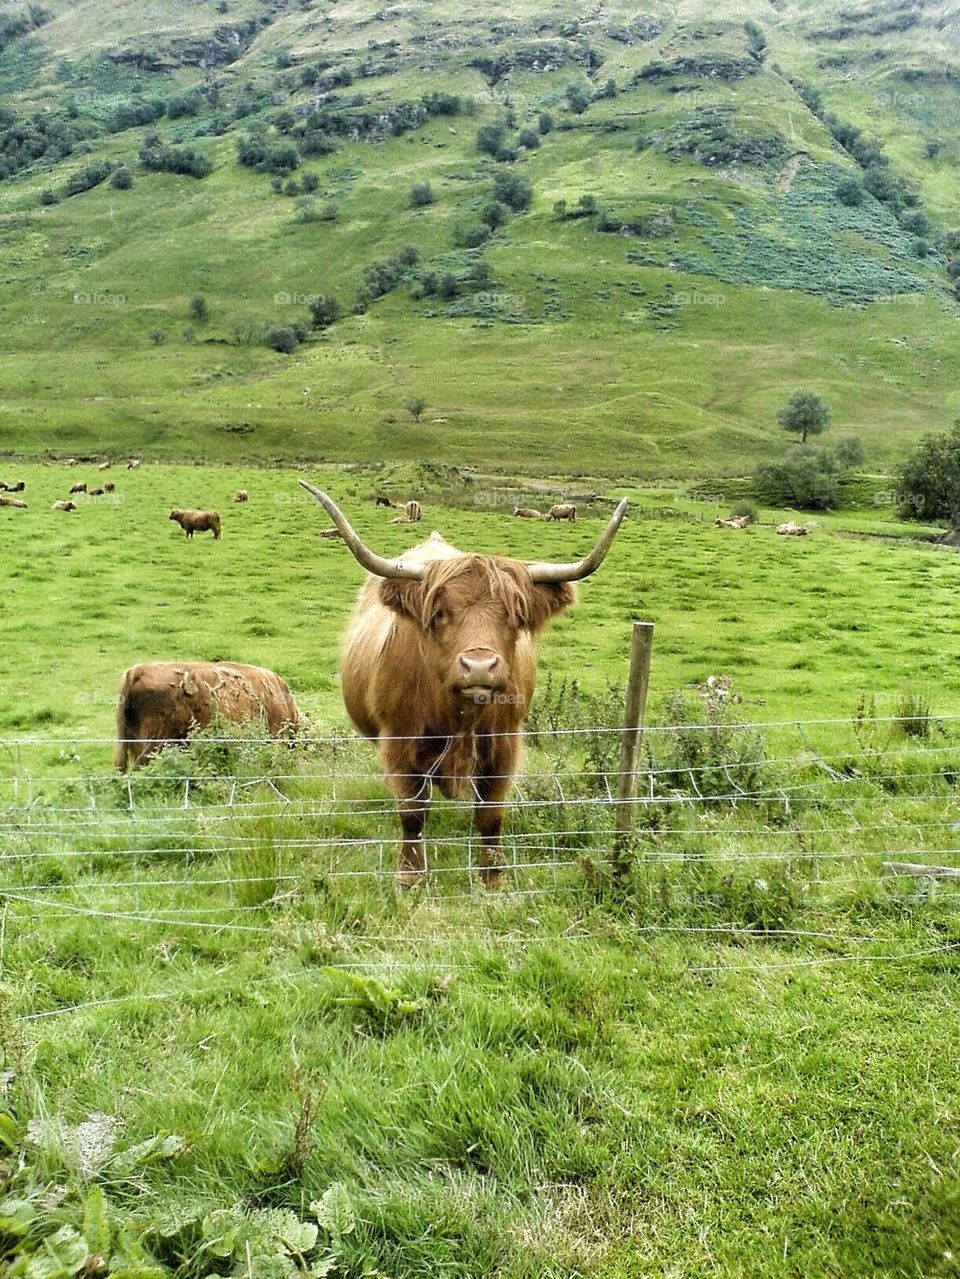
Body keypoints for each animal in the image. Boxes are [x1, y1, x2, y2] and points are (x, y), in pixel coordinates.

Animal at [301, 483, 631, 885]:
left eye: (515, 615)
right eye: (440, 613)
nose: (479, 667)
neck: (459, 717)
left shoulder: (505, 745)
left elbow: (490, 814)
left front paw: (493, 878)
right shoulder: (399, 744)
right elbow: (412, 812)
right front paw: (410, 875)